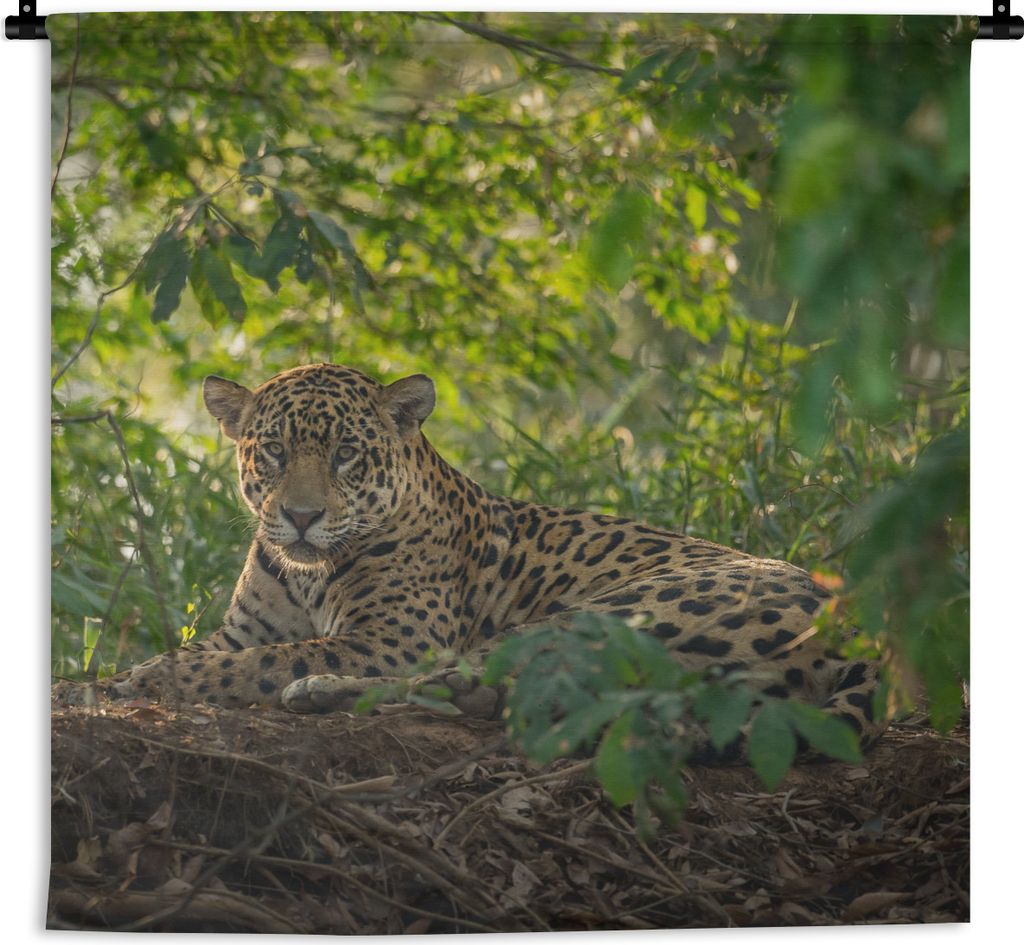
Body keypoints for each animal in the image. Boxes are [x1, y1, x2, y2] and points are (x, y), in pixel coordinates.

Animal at [108, 362, 886, 754]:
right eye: (272, 450)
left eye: (346, 453)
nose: (301, 517)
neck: (305, 574)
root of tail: (858, 632)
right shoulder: (241, 628)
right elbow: (223, 649)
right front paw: (126, 674)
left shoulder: (393, 637)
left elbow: (262, 661)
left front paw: (143, 680)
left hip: (603, 614)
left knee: (451, 679)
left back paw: (318, 690)